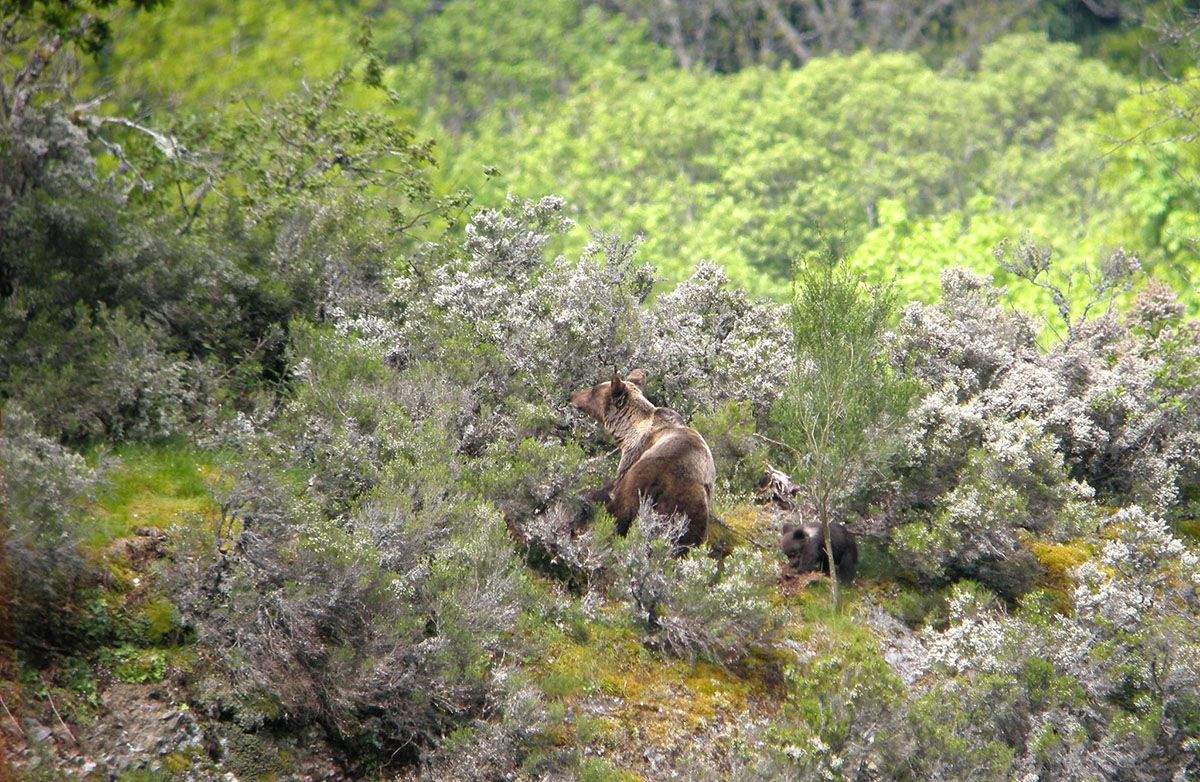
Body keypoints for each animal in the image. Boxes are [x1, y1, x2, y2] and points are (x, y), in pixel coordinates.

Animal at [570, 369, 716, 549]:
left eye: (593, 390)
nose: (572, 396)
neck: (629, 431)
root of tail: (661, 479)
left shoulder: (632, 454)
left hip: (666, 495)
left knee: (618, 514)